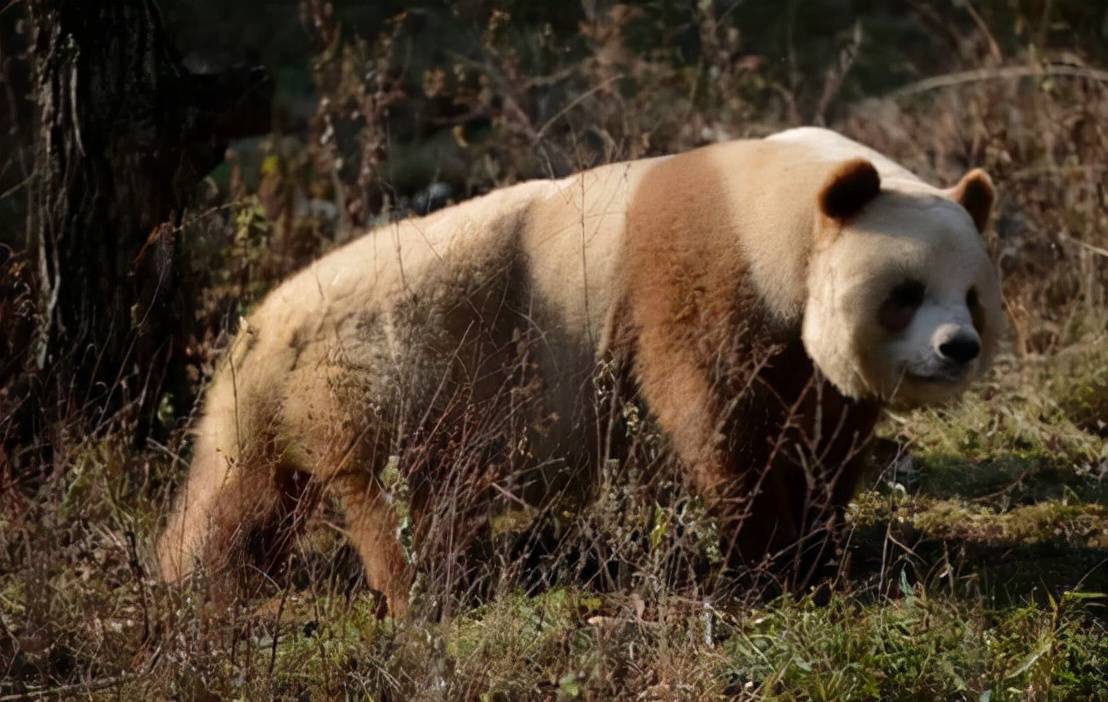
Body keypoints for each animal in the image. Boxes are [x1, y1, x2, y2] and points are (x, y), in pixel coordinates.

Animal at [156, 127, 1002, 616]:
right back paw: (429, 591)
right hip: (381, 369)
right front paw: (766, 559)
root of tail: (265, 329)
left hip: (274, 405)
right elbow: (717, 416)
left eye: (972, 296)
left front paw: (819, 549)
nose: (957, 348)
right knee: (389, 496)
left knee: (240, 493)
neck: (778, 204)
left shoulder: (802, 349)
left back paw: (198, 579)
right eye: (904, 294)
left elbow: (823, 433)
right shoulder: (699, 274)